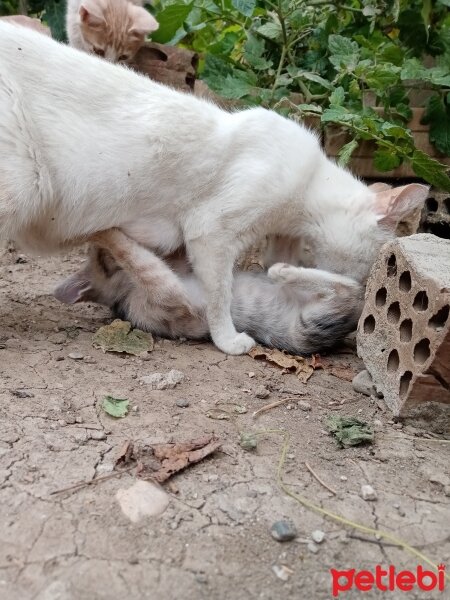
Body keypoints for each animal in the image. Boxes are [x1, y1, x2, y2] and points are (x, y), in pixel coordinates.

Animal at [53, 229, 362, 352]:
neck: (124, 296)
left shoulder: (178, 269)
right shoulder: (168, 294)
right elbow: (133, 255)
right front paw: (100, 231)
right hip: (311, 322)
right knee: (351, 289)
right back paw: (283, 271)